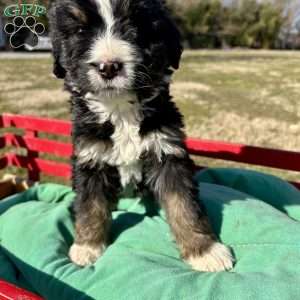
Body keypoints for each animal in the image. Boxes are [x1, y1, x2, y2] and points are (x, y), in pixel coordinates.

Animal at [48, 0, 234, 272]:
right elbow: (90, 205)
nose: (108, 66)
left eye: (135, 26)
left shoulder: (167, 151)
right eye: (81, 31)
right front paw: (86, 246)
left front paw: (204, 251)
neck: (120, 111)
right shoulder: (90, 157)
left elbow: (184, 205)